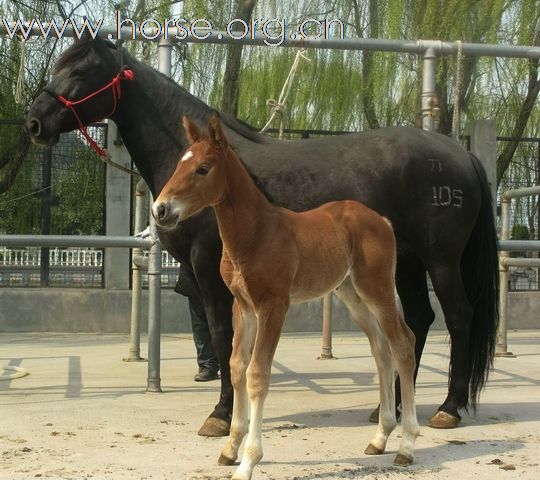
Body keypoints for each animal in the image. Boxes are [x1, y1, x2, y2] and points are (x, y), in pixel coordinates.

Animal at [25, 36, 498, 436]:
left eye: (81, 70)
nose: (34, 122)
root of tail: (462, 155)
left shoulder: (208, 269)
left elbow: (223, 337)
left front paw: (220, 415)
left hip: (440, 261)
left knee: (458, 316)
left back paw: (448, 409)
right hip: (406, 265)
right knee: (417, 321)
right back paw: (394, 408)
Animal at [154, 113, 420, 480]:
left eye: (203, 169)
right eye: (180, 164)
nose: (160, 210)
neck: (255, 233)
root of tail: (380, 220)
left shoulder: (273, 305)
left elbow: (257, 373)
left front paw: (248, 461)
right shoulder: (242, 306)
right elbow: (236, 366)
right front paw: (230, 448)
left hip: (376, 287)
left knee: (403, 345)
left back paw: (406, 446)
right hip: (351, 293)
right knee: (381, 350)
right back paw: (379, 438)